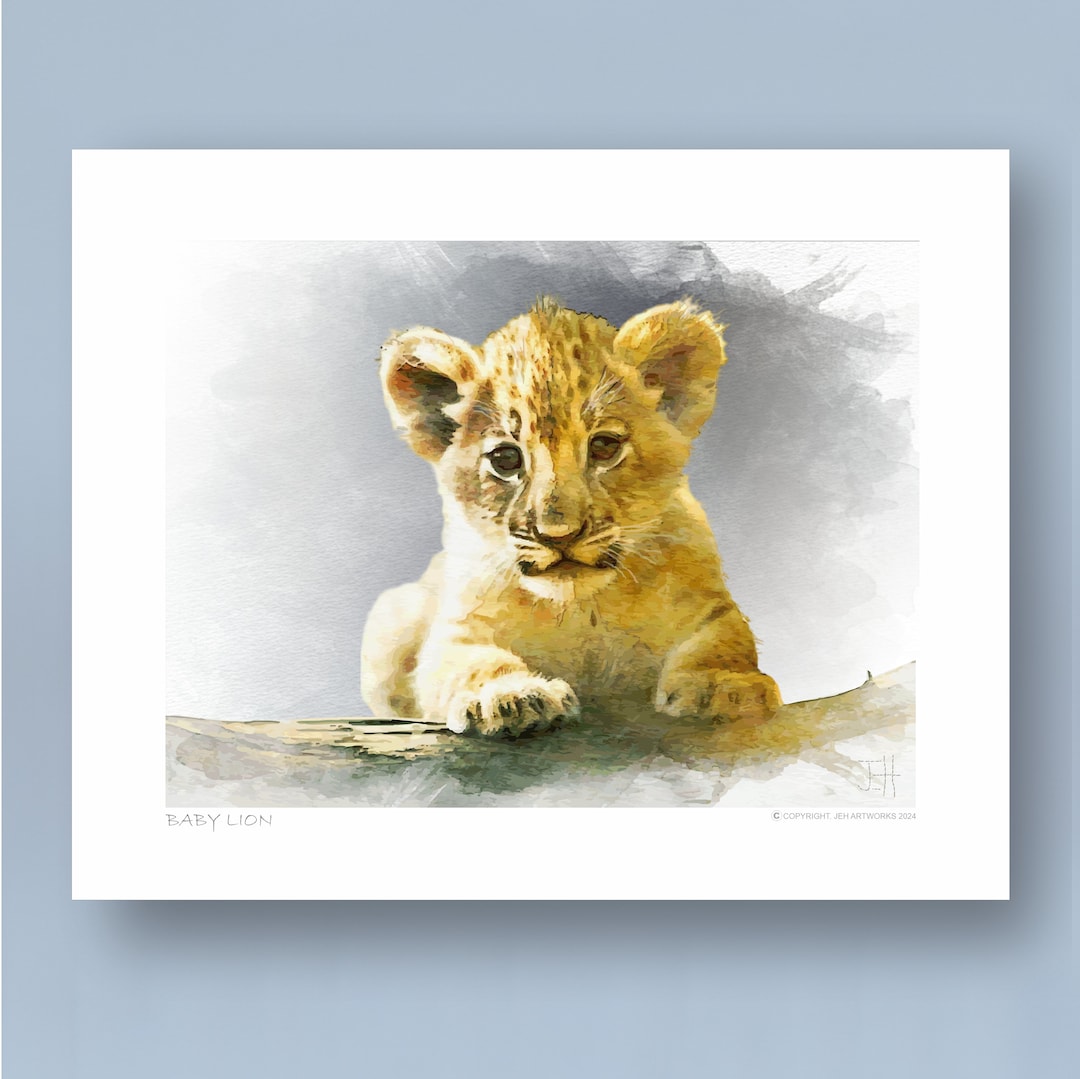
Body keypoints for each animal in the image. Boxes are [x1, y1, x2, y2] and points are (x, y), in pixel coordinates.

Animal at [360, 297, 781, 736]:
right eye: (505, 459)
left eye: (604, 446)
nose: (558, 535)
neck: (581, 609)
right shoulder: (458, 629)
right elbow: (473, 664)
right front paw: (506, 696)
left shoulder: (712, 610)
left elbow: (722, 643)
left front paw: (724, 688)